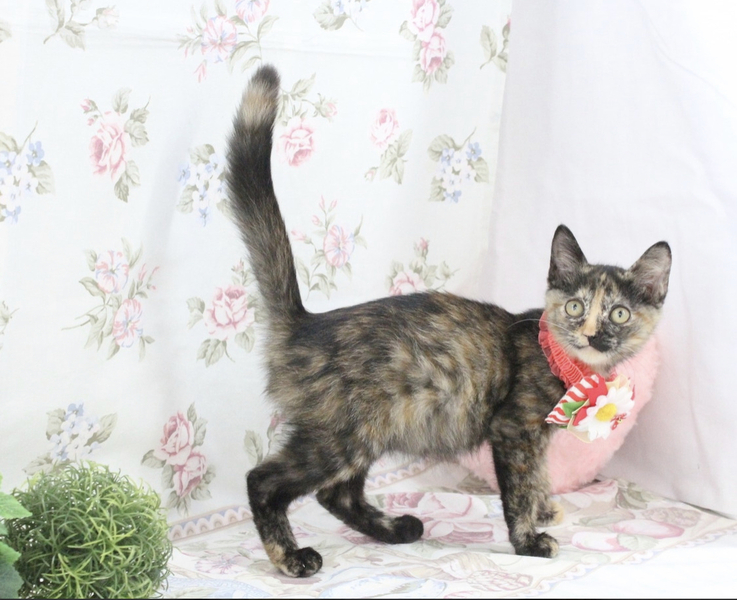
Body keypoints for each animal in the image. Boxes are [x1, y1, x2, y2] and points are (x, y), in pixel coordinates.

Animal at [225, 64, 672, 577]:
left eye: (619, 313)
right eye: (575, 307)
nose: (593, 334)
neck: (564, 360)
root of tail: (306, 323)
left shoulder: (535, 438)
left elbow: (538, 475)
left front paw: (544, 508)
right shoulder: (514, 428)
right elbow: (518, 488)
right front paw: (528, 539)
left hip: (366, 430)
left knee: (336, 492)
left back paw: (395, 529)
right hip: (341, 433)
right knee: (264, 479)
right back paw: (291, 556)